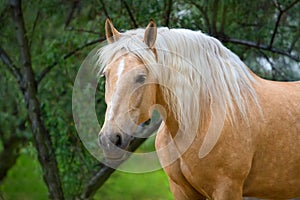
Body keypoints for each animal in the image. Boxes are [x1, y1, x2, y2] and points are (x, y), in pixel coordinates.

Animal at [97, 18, 298, 199]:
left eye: (141, 77)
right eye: (106, 75)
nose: (110, 139)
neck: (203, 116)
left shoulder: (227, 189)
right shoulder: (182, 190)